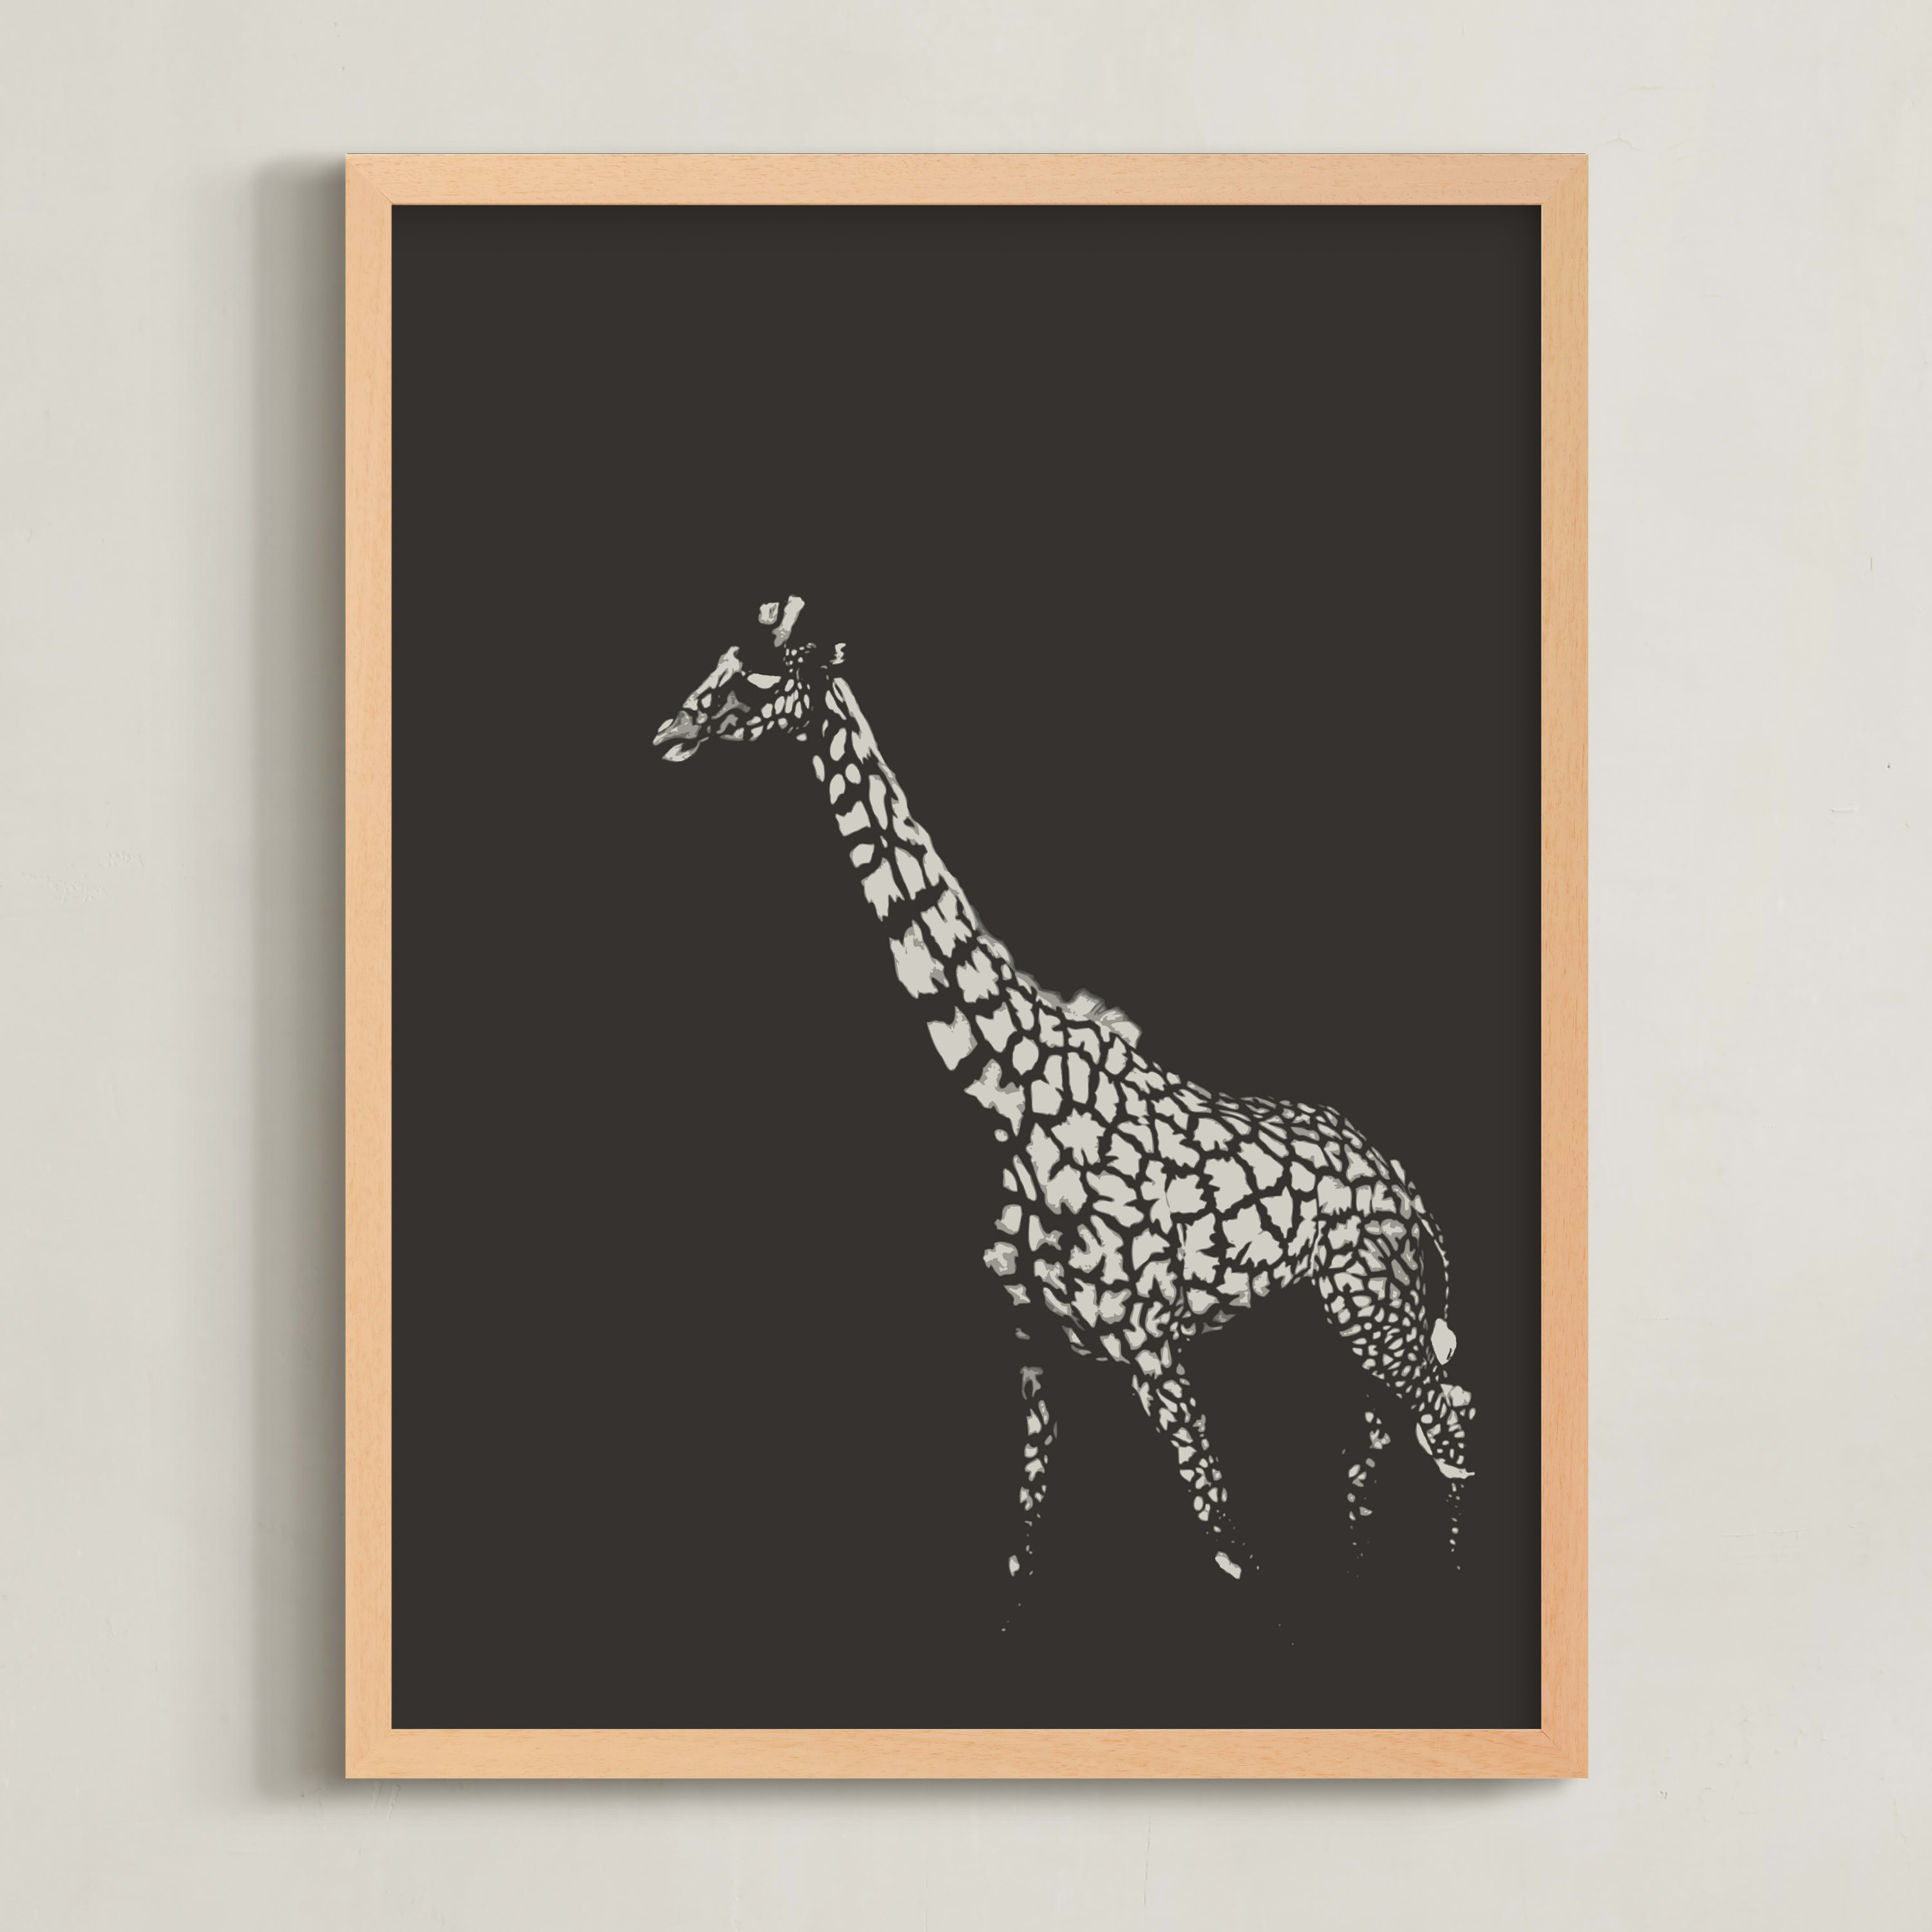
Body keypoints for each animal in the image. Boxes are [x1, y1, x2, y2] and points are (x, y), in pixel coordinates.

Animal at [654, 596, 1476, 1600]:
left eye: (762, 679)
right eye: (718, 660)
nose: (670, 732)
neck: (1011, 1098)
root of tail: (1408, 1184)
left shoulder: (1151, 1345)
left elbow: (1227, 1542)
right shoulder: (1036, 1352)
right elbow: (1024, 1541)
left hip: (1376, 1308)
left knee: (1447, 1427)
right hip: (1336, 1321)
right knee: (1378, 1447)